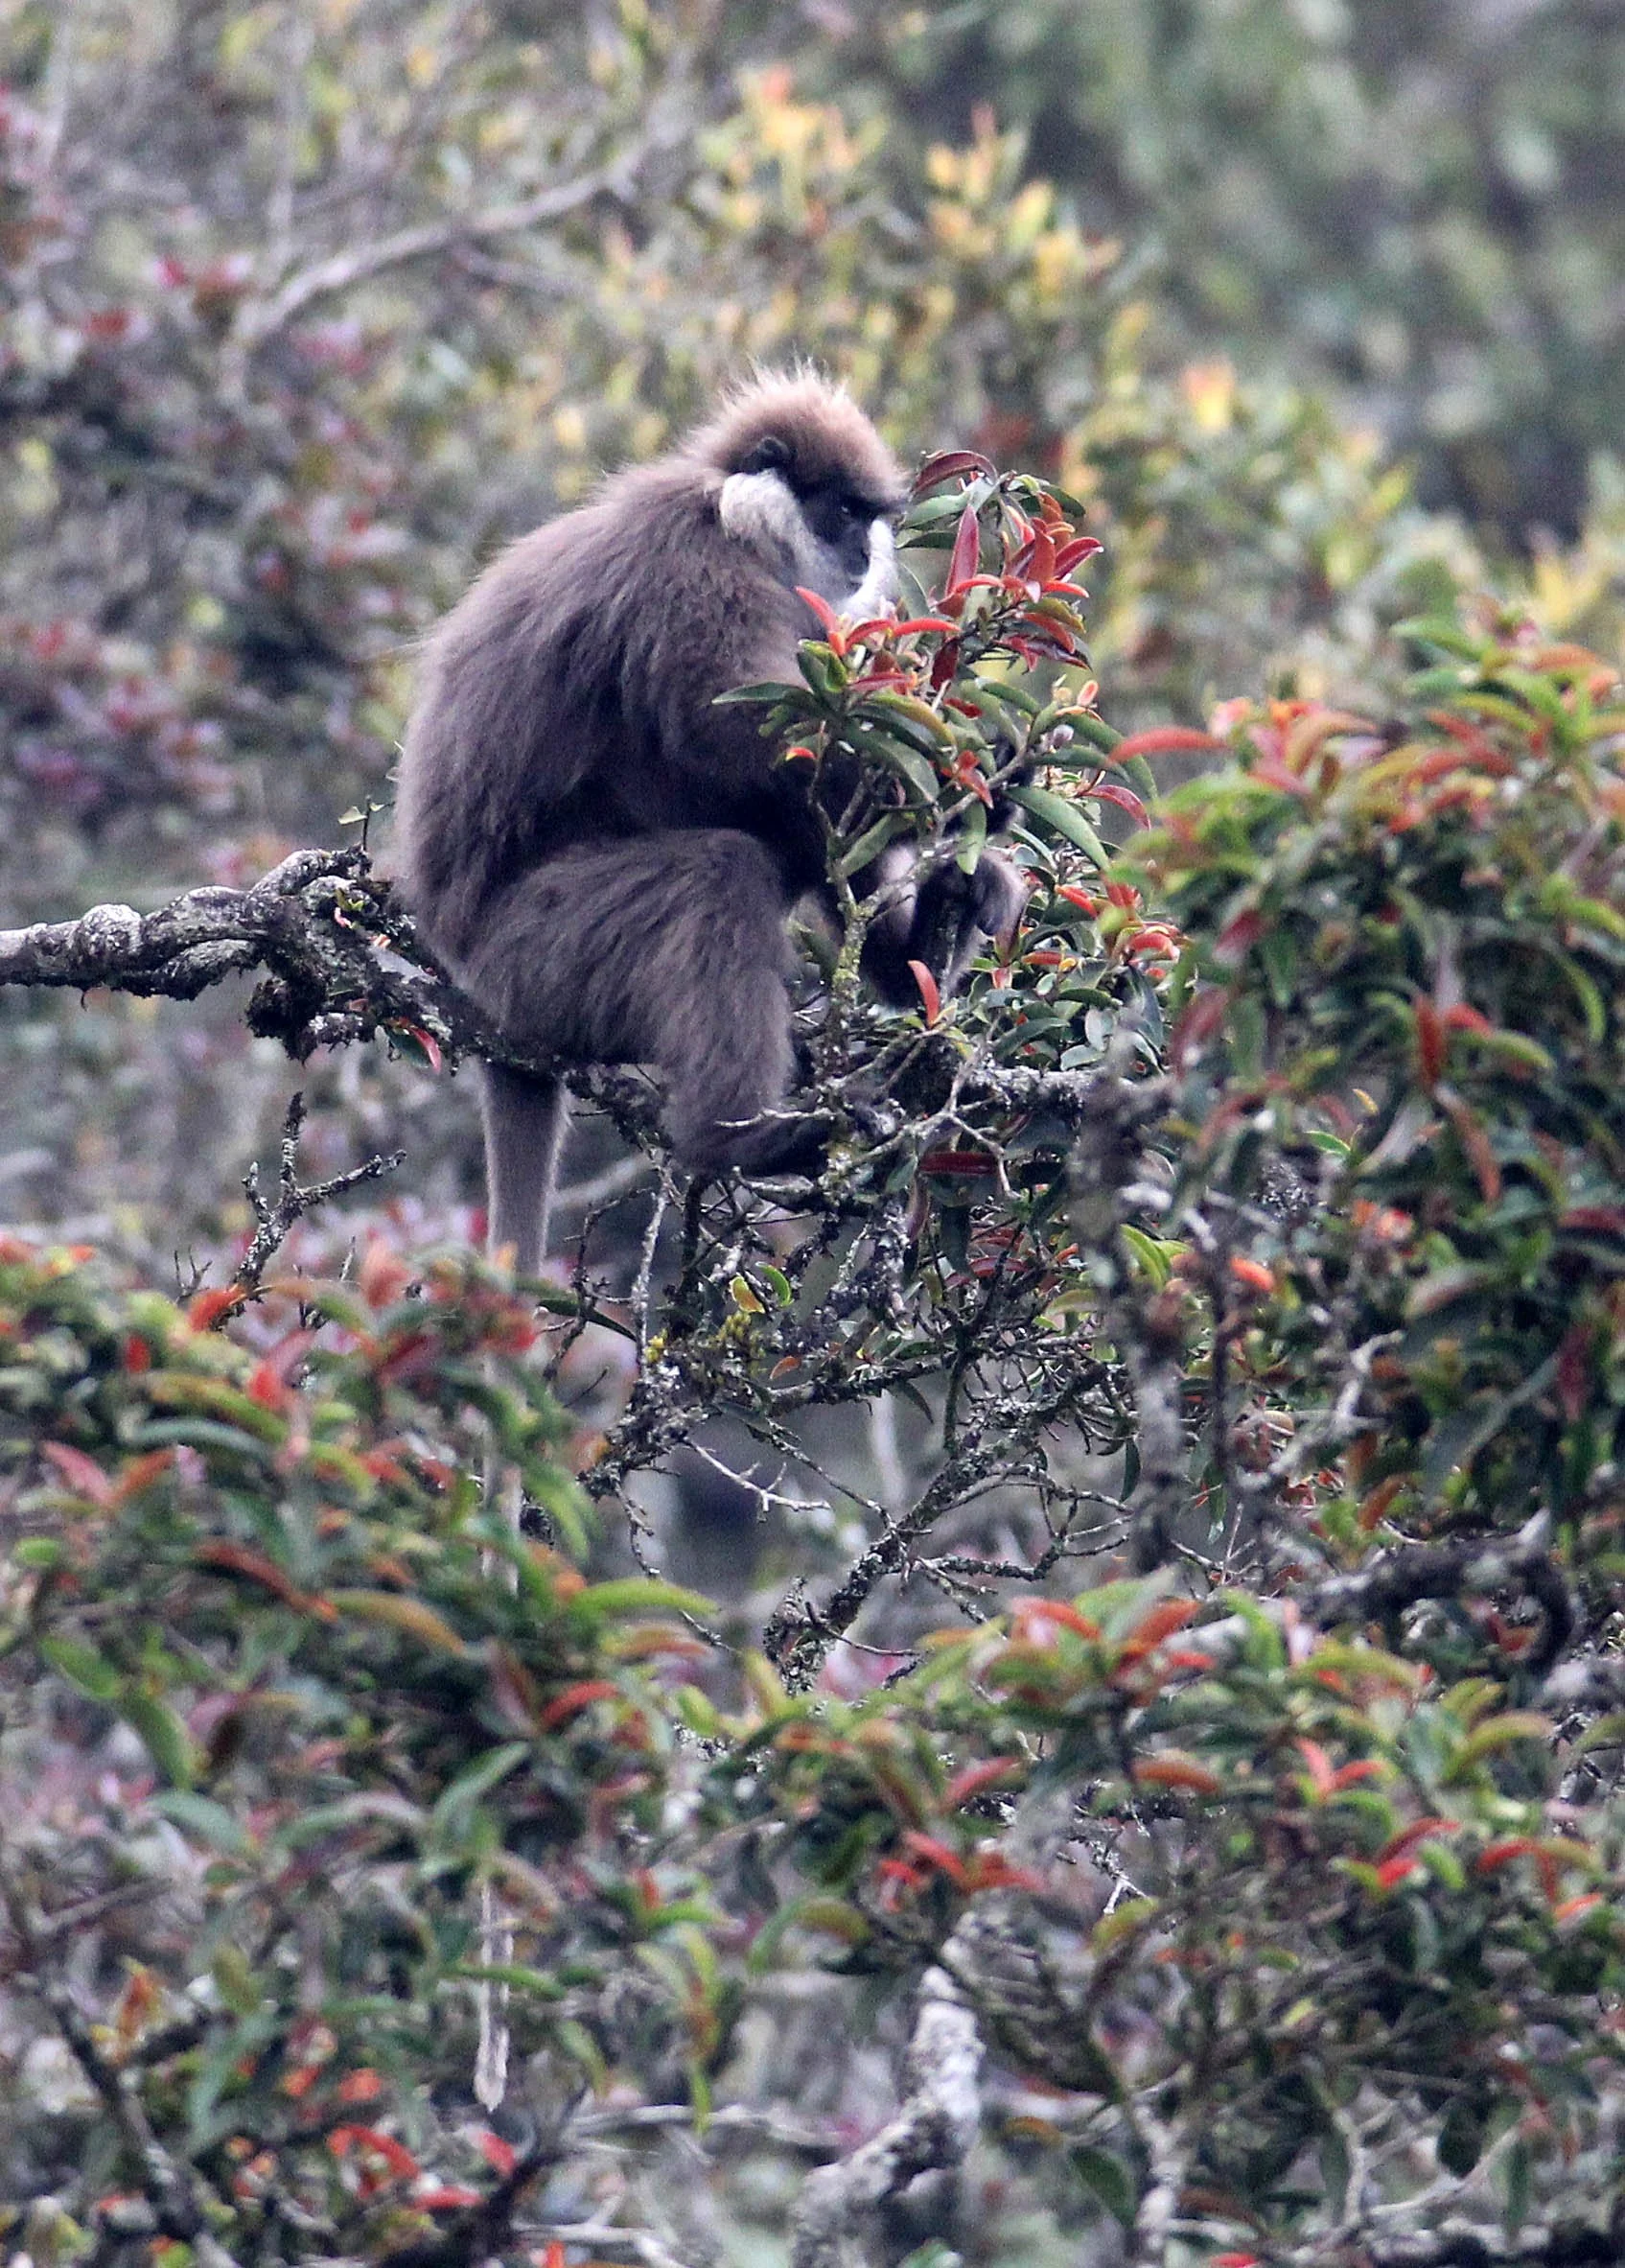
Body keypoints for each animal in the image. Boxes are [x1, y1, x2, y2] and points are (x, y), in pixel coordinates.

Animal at [393, 371, 1027, 1273]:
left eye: (871, 518)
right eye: (840, 510)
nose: (865, 554)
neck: (731, 519)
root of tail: (466, 972)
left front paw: (957, 883)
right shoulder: (692, 569)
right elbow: (745, 738)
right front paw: (976, 771)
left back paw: (918, 952)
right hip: (537, 954)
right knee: (718, 871)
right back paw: (743, 1137)